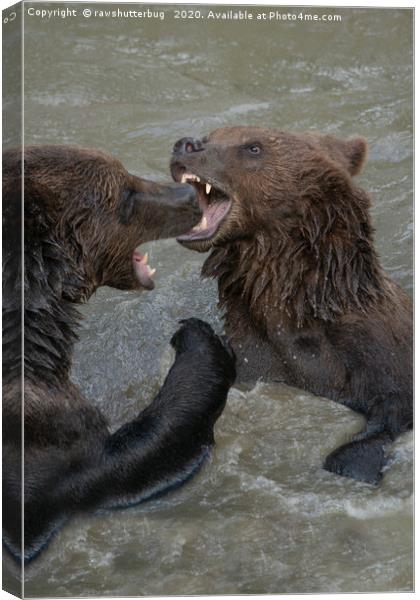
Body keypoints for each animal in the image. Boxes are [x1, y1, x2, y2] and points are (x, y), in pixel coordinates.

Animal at [1, 146, 236, 564]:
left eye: (125, 172)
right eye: (125, 193)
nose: (189, 195)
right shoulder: (43, 453)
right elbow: (141, 450)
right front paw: (195, 335)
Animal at [171, 125, 414, 482]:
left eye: (253, 147)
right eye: (212, 134)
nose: (185, 144)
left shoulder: (381, 354)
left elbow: (391, 411)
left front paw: (349, 461)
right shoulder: (256, 354)